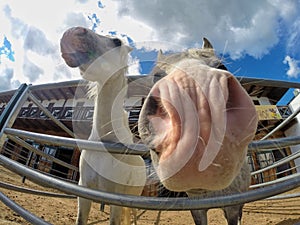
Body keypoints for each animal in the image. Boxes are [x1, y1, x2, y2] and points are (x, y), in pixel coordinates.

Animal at [60, 26, 146, 225]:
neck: (105, 142)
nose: (74, 33)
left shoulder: (115, 199)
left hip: (131, 201)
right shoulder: (84, 192)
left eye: (117, 42)